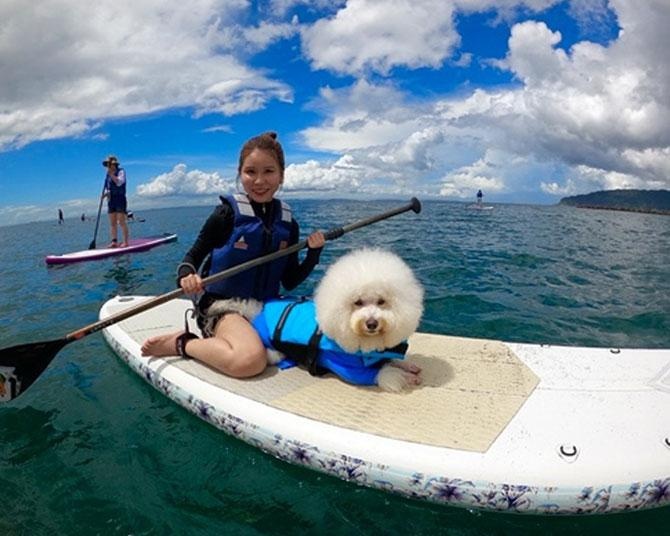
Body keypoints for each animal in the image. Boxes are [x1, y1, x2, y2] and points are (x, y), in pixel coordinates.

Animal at [258, 249, 426, 392]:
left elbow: (391, 359)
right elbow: (382, 372)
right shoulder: (346, 367)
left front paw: (406, 364)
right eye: (357, 302)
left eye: (381, 301)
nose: (372, 324)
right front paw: (405, 377)